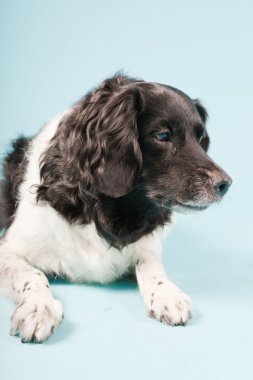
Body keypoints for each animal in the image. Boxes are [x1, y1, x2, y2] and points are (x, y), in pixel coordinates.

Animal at [0, 75, 232, 344]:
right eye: (163, 135)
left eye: (200, 137)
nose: (226, 184)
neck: (110, 209)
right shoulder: (8, 249)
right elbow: (33, 275)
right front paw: (39, 308)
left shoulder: (147, 244)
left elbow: (151, 266)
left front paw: (167, 294)